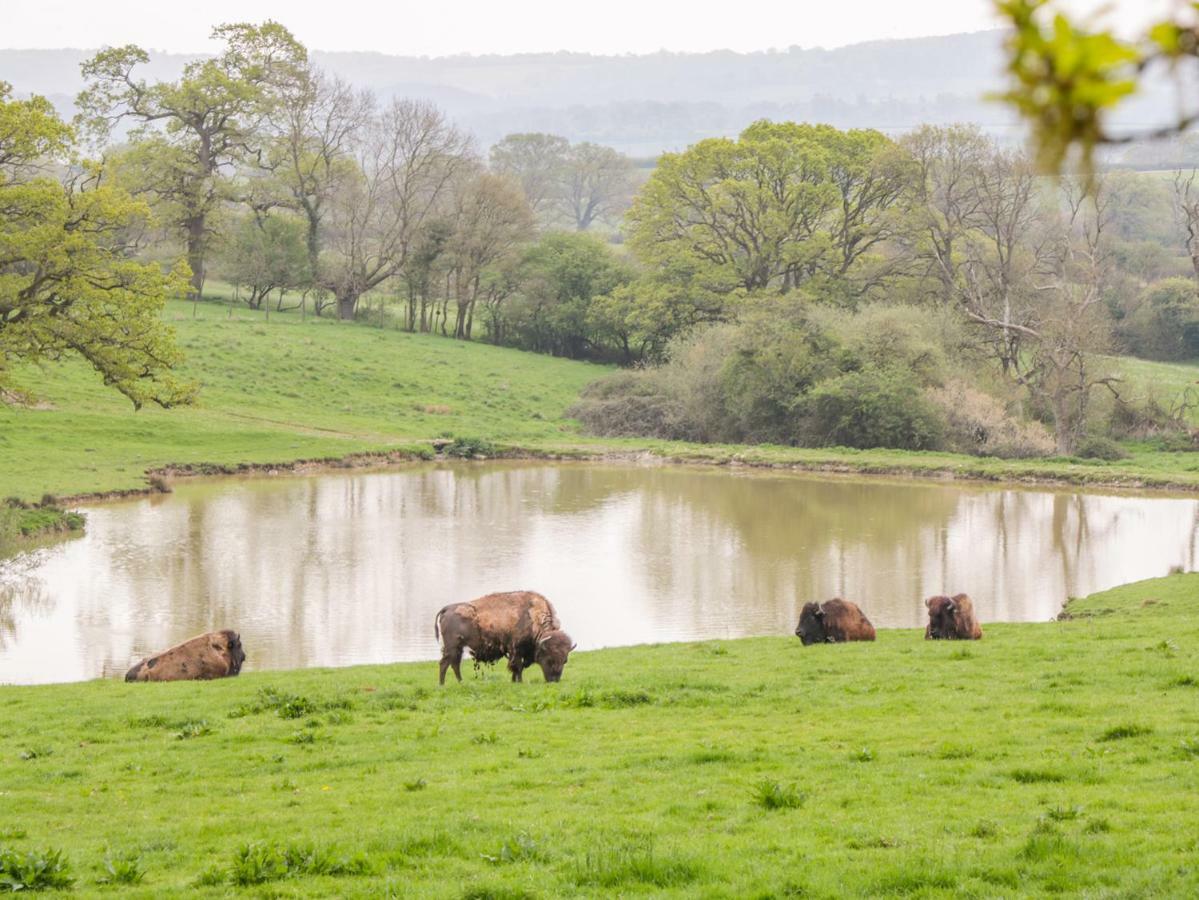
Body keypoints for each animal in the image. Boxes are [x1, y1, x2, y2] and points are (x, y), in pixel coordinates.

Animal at [436, 592, 575, 680]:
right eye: (549, 658)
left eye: (565, 660)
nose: (554, 680)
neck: (531, 617)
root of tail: (447, 609)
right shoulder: (516, 650)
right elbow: (517, 667)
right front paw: (519, 682)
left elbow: (518, 668)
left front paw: (514, 681)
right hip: (452, 647)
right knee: (445, 663)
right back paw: (443, 685)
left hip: (458, 648)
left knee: (454, 664)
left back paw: (460, 682)